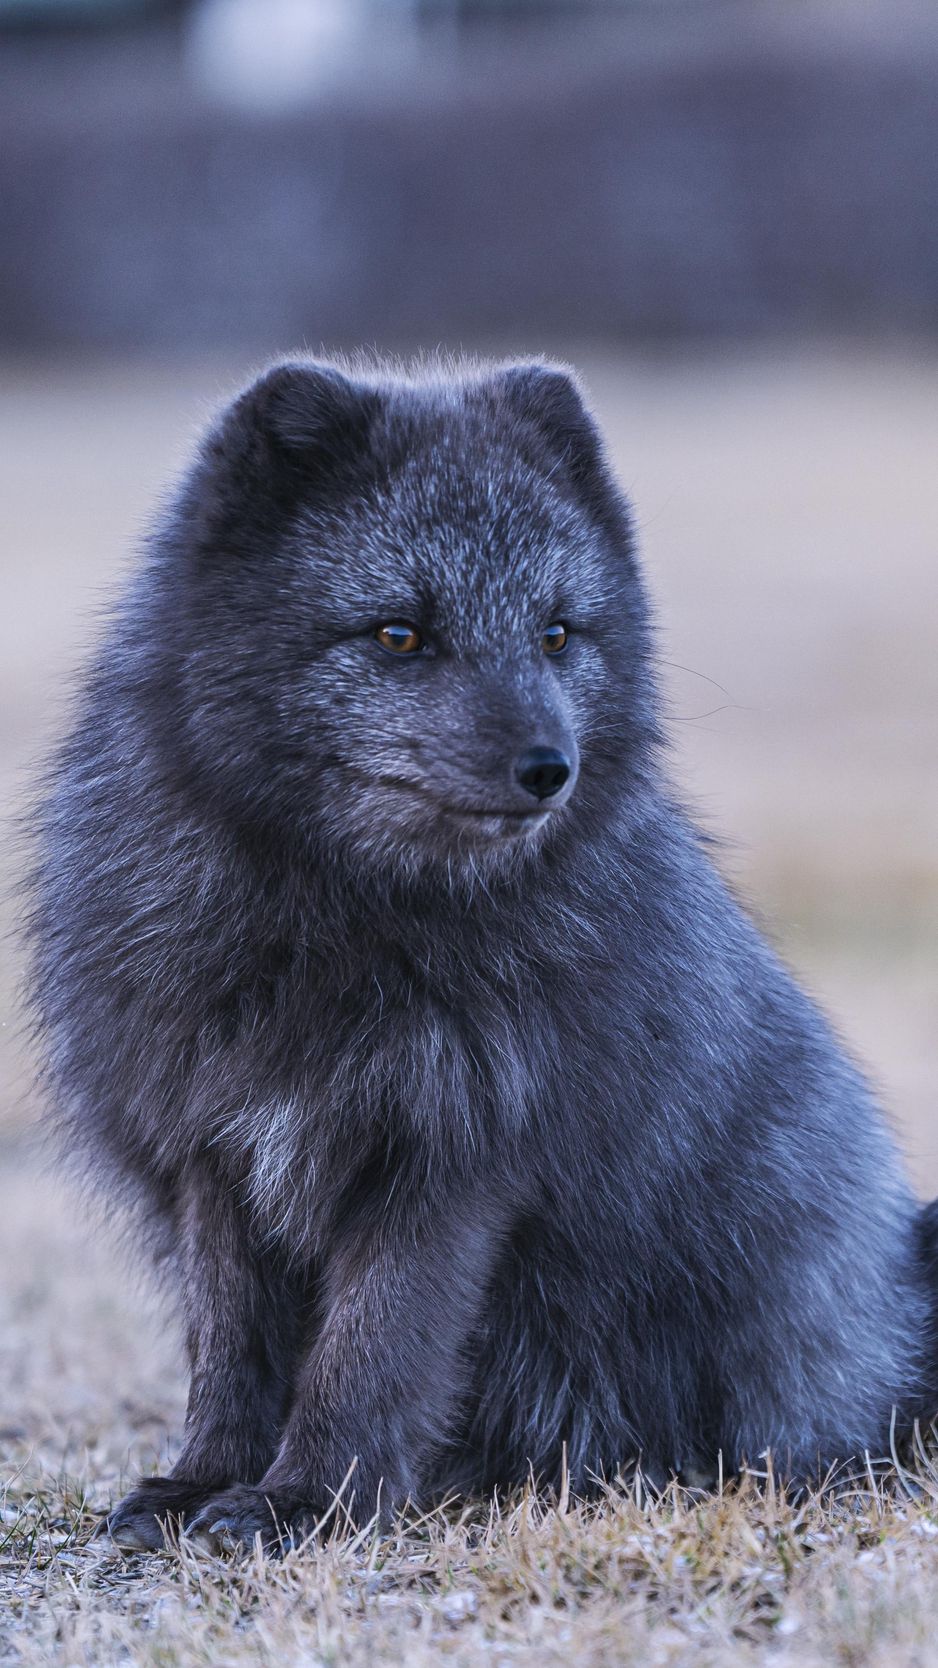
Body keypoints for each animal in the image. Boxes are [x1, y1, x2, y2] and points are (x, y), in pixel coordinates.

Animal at [25, 355, 938, 1550]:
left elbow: (367, 1354)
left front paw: (306, 1500)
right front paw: (201, 1484)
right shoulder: (212, 1150)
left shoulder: (453, 1160)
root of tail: (897, 1303)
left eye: (556, 634)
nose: (548, 769)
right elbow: (229, 1353)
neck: (338, 933)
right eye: (398, 634)